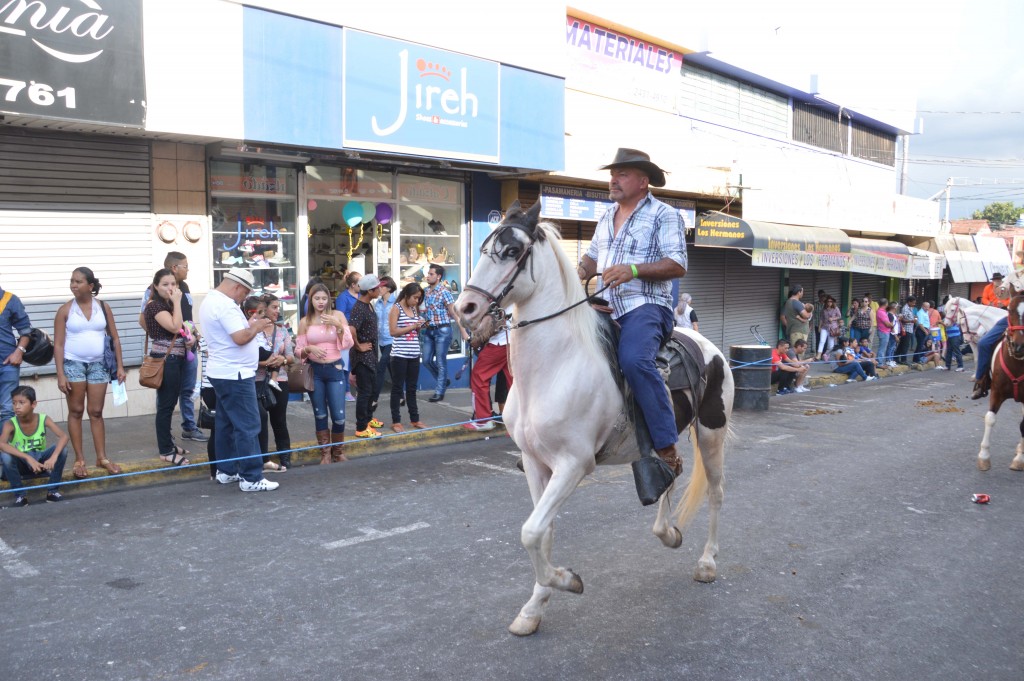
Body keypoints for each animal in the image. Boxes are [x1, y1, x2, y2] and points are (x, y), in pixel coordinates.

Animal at [452, 201, 733, 639]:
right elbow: (542, 531)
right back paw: (667, 532)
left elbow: (530, 531)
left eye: (512, 251)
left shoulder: (574, 464)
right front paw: (534, 608)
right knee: (671, 471)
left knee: (716, 493)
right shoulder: (535, 463)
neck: (554, 368)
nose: (464, 308)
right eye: (484, 249)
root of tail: (709, 347)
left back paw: (707, 562)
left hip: (711, 433)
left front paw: (566, 580)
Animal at [978, 294, 1024, 471]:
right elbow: (990, 418)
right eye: (1010, 310)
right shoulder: (997, 392)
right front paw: (984, 457)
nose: (1019, 346)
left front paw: (1019, 459)